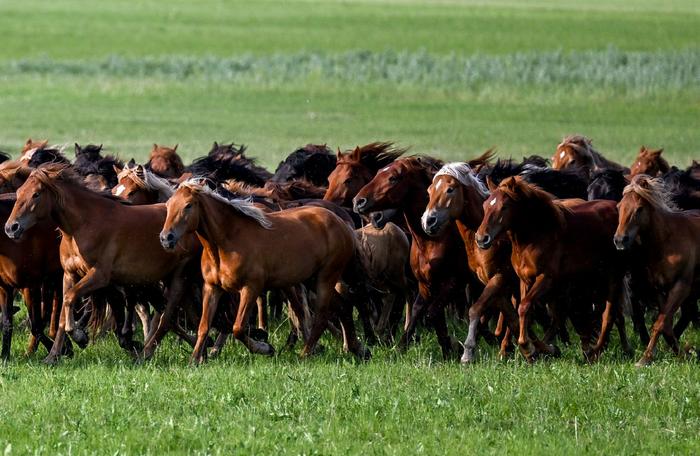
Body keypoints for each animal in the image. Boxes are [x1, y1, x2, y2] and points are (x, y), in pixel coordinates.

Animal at [161, 179, 370, 364]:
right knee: (342, 306)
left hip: (326, 278)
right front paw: (195, 360)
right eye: (168, 205)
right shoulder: (212, 288)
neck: (227, 242)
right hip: (313, 279)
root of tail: (342, 224)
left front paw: (265, 348)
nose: (166, 238)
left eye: (188, 205)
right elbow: (204, 326)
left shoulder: (251, 288)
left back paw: (306, 353)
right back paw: (358, 350)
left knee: (321, 315)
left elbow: (238, 327)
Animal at [474, 176, 632, 362]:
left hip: (612, 277)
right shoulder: (525, 280)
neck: (536, 236)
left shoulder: (546, 279)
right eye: (485, 206)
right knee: (610, 314)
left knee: (608, 315)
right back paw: (620, 349)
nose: (481, 239)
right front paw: (543, 349)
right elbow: (524, 311)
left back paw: (595, 352)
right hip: (593, 280)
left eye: (504, 207)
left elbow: (525, 307)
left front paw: (527, 348)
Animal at [612, 175, 700, 366]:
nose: (620, 240)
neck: (666, 243)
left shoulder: (680, 287)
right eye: (619, 206)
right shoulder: (659, 289)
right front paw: (679, 353)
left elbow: (660, 322)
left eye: (639, 209)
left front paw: (645, 358)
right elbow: (664, 323)